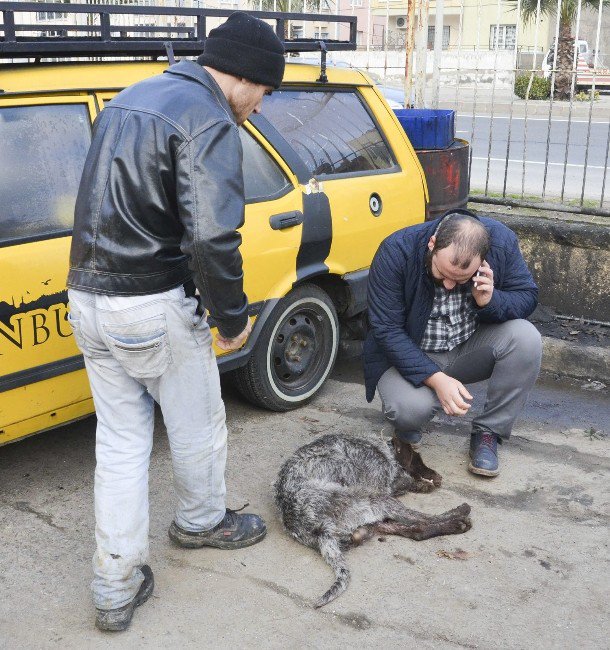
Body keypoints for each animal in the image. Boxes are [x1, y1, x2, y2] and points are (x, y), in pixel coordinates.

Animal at [274, 432, 470, 604]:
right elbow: (405, 483)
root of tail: (319, 529)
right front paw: (422, 484)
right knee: (422, 521)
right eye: (418, 460)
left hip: (364, 521)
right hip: (376, 499)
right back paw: (458, 517)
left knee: (412, 529)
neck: (379, 447)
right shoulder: (385, 487)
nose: (439, 477)